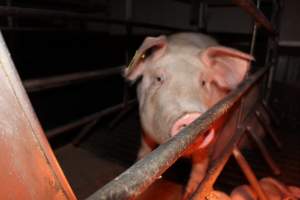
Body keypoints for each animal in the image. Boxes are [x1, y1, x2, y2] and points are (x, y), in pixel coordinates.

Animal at [123, 32, 253, 198]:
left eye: (203, 82)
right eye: (158, 79)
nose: (191, 116)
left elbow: (201, 161)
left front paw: (189, 193)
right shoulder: (145, 126)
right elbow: (146, 147)